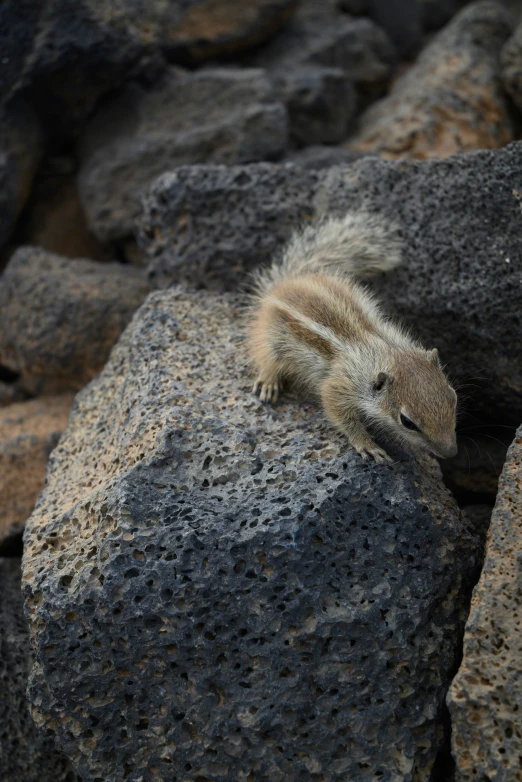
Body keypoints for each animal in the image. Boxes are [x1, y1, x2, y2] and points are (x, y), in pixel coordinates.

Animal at [248, 211, 456, 462]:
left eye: (453, 397)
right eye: (407, 422)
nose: (451, 453)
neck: (386, 352)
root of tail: (289, 281)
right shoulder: (340, 385)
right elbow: (338, 411)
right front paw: (367, 445)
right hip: (273, 336)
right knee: (267, 358)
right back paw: (268, 382)